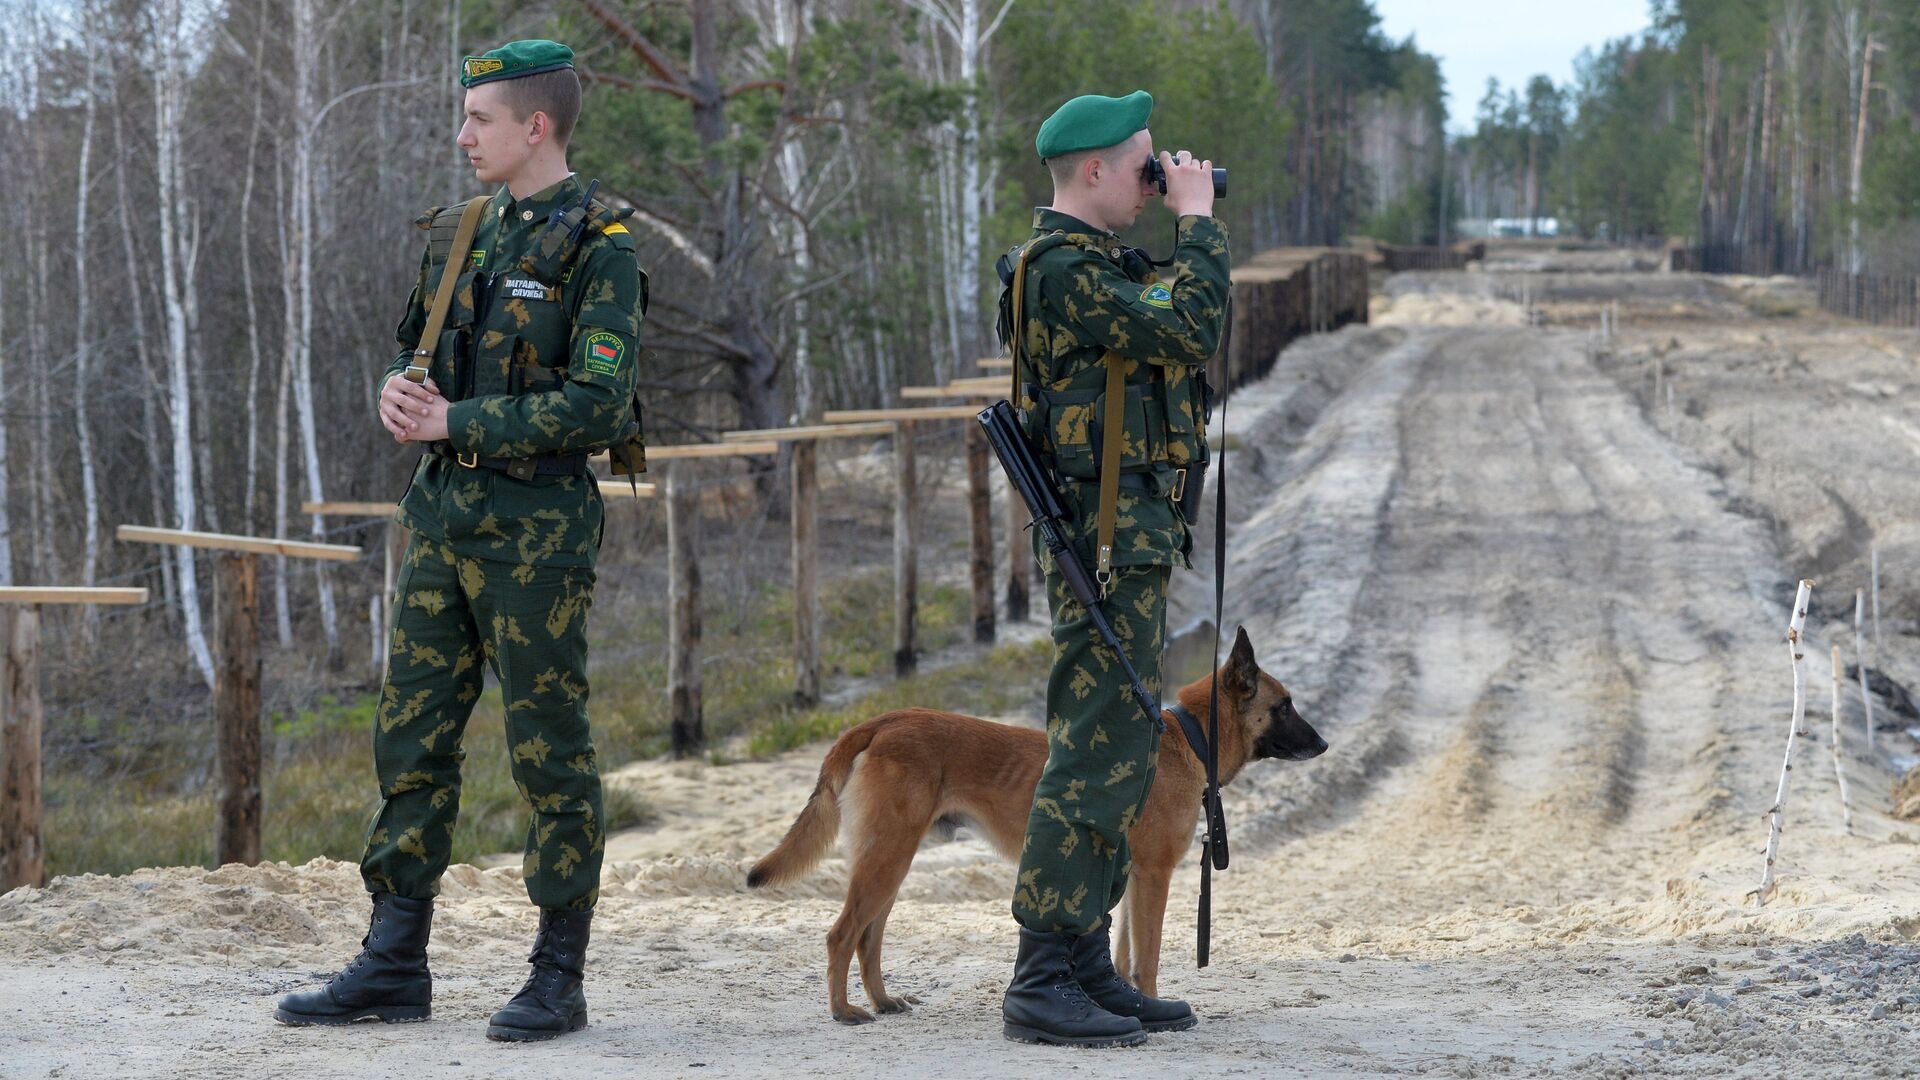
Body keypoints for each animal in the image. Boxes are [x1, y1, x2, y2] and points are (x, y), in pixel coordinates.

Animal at [741, 622, 1328, 1014]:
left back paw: (883, 1002)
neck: (1188, 738)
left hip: (891, 863)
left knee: (868, 937)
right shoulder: (1155, 876)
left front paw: (1127, 1001)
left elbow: (1122, 953)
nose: (1324, 744)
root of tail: (885, 720)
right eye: (1284, 706)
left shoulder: (1131, 877)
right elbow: (1149, 955)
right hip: (886, 859)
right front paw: (1154, 1005)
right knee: (842, 935)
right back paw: (844, 1012)